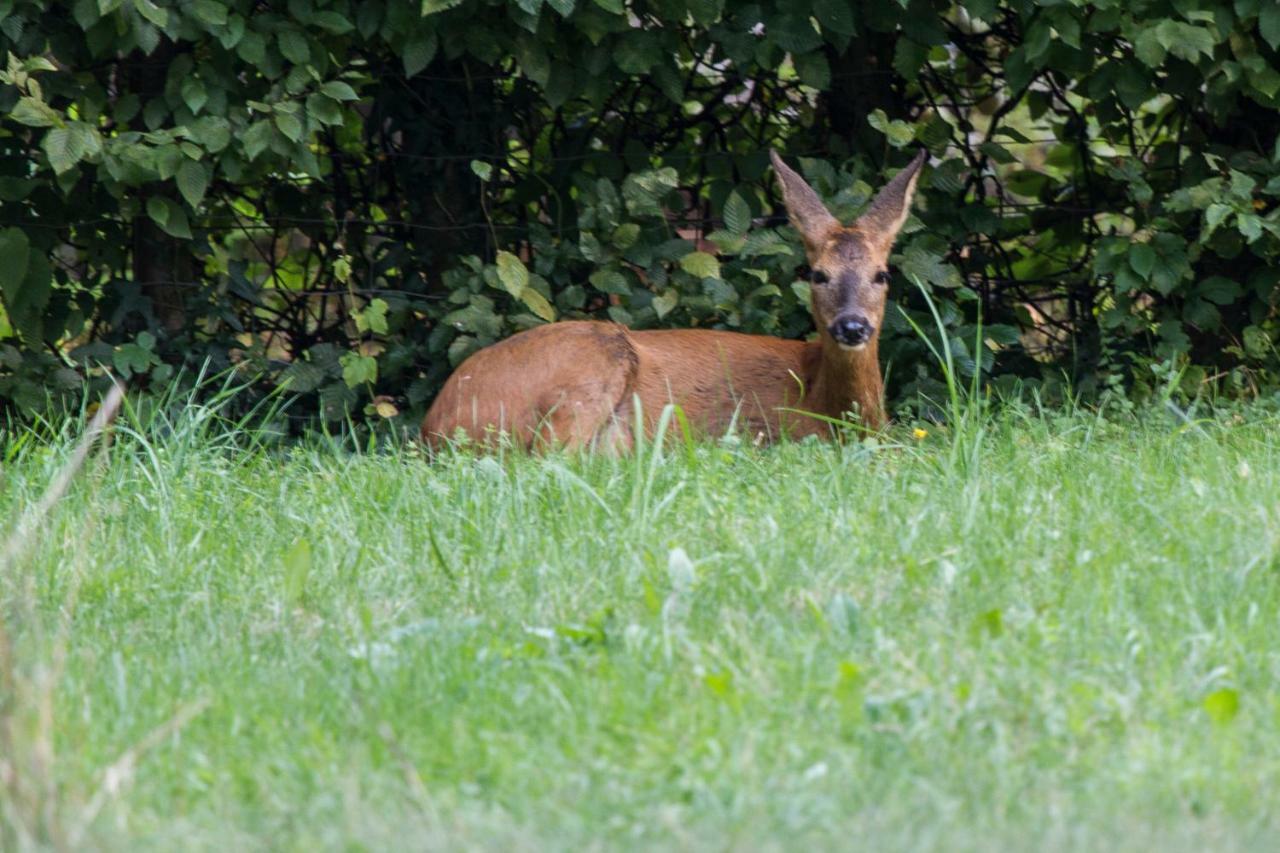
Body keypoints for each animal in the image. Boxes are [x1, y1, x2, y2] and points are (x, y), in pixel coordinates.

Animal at [422, 149, 931, 450]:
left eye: (882, 274)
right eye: (818, 274)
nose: (852, 326)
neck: (824, 403)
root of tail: (434, 425)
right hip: (595, 360)